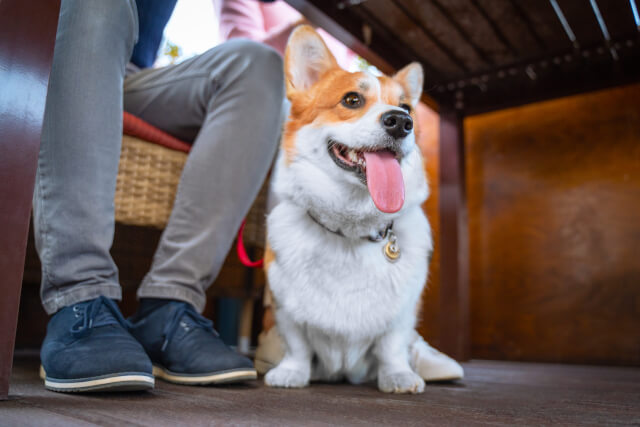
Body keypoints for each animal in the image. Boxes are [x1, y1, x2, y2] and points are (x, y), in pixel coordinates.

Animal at [262, 26, 432, 394]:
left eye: (407, 107)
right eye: (352, 100)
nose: (402, 122)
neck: (351, 230)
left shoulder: (402, 313)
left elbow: (392, 345)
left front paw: (397, 376)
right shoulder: (285, 304)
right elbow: (296, 343)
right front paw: (292, 372)